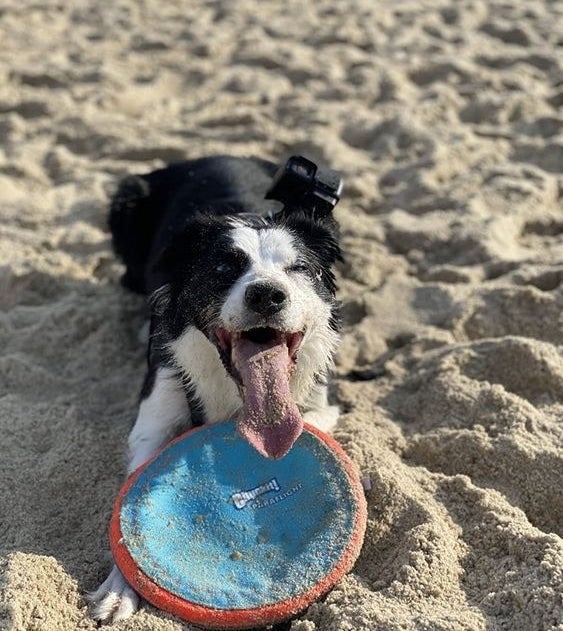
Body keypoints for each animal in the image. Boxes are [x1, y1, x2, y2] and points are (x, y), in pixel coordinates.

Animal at [88, 157, 344, 624]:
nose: (267, 294)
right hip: (126, 201)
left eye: (298, 268)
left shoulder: (320, 400)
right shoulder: (156, 416)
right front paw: (119, 588)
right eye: (224, 269)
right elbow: (131, 497)